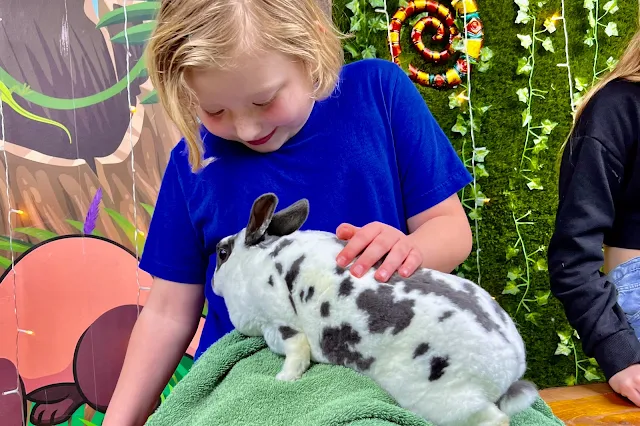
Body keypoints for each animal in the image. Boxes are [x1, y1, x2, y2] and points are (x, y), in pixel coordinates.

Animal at [214, 194, 540, 426]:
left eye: (222, 253)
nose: (214, 284)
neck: (257, 261)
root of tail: (510, 369)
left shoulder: (283, 324)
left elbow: (297, 355)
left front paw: (283, 380)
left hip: (446, 403)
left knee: (497, 419)